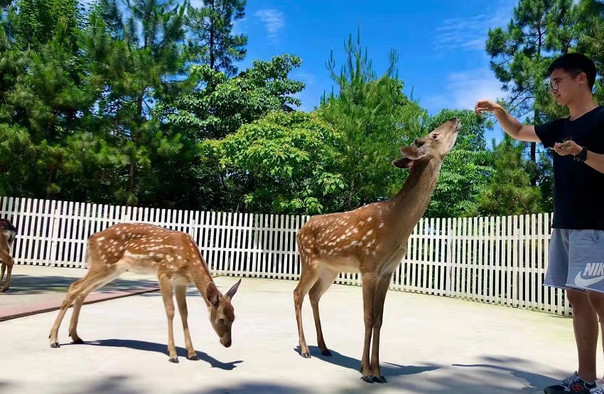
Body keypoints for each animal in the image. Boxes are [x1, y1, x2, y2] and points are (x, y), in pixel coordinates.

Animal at [48, 223, 241, 362]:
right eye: (221, 319)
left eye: (234, 318)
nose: (228, 343)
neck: (189, 262)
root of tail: (90, 239)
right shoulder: (164, 272)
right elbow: (170, 311)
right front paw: (173, 354)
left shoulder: (181, 282)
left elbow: (184, 313)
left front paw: (192, 353)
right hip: (102, 264)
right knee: (74, 287)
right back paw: (53, 339)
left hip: (112, 270)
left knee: (82, 293)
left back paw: (75, 336)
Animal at [294, 118, 460, 384]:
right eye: (434, 134)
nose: (455, 120)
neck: (395, 224)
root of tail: (300, 229)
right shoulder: (369, 265)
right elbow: (368, 317)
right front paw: (366, 371)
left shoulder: (387, 271)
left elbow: (380, 318)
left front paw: (379, 372)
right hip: (308, 259)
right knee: (298, 293)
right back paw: (304, 348)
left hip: (330, 269)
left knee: (314, 295)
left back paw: (324, 347)